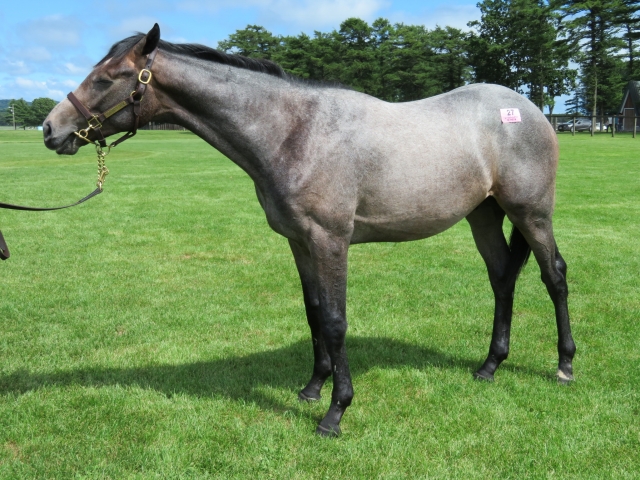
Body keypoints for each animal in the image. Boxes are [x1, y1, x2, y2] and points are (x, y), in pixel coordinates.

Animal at [43, 24, 576, 437]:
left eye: (106, 78)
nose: (51, 128)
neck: (294, 132)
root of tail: (528, 108)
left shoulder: (330, 241)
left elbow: (336, 321)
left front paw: (336, 413)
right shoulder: (300, 243)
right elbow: (315, 312)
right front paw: (312, 389)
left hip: (531, 213)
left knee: (554, 276)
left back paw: (565, 365)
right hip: (483, 214)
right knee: (502, 278)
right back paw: (489, 366)